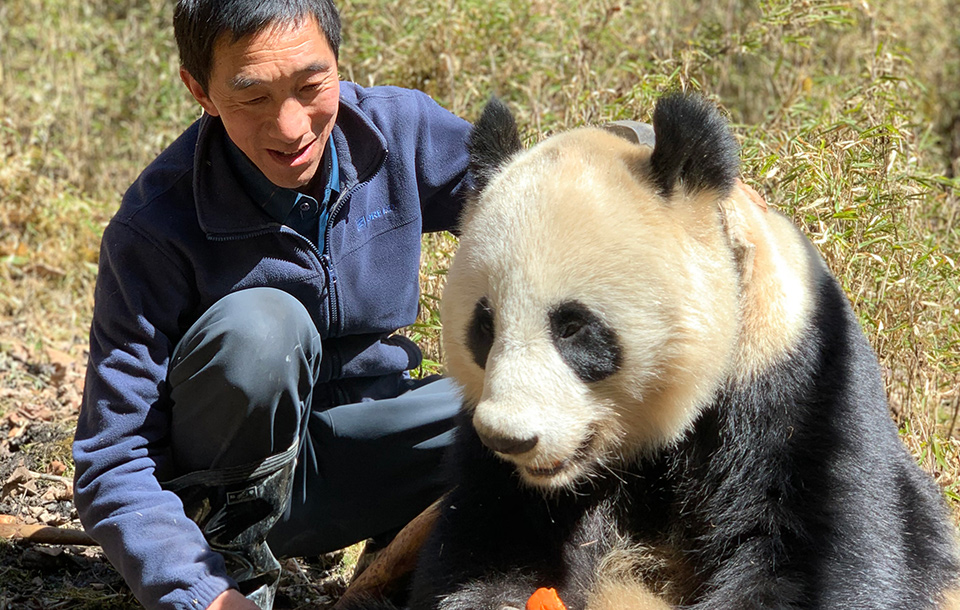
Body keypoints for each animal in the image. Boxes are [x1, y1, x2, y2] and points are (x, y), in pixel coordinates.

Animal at [404, 91, 960, 608]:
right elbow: (485, 544)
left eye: (574, 327)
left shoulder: (795, 380)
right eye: (485, 326)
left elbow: (809, 553)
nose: (509, 438)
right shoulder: (500, 474)